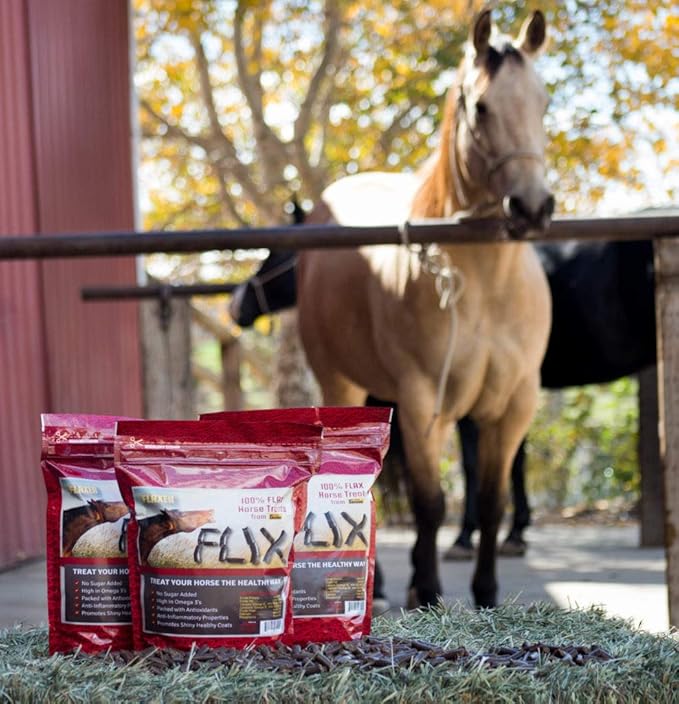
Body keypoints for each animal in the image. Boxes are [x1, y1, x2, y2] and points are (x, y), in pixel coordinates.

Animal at [297, 9, 554, 609]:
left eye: (544, 101)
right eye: (481, 107)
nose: (532, 207)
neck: (487, 288)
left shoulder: (513, 406)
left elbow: (489, 503)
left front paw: (484, 592)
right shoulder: (422, 401)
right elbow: (431, 503)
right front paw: (432, 593)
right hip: (345, 385)